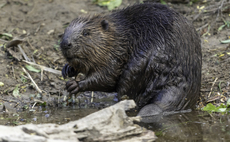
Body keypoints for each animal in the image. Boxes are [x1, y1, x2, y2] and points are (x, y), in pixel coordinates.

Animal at [60, 2, 201, 116]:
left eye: (86, 33)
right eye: (65, 31)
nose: (65, 43)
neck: (121, 34)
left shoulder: (117, 54)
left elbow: (108, 76)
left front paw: (74, 85)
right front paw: (67, 69)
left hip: (141, 65)